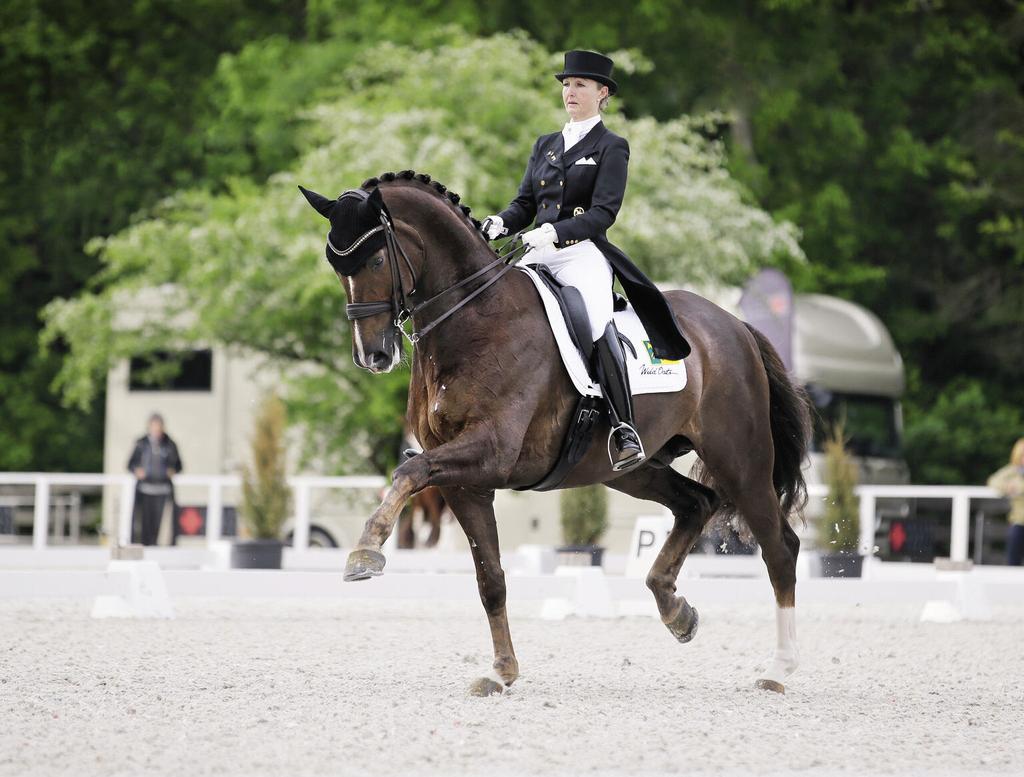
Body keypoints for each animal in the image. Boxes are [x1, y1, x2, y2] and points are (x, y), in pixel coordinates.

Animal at [299, 173, 811, 696]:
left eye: (377, 260)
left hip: (740, 460)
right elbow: (490, 577)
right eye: (334, 265)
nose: (373, 356)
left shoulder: (490, 453)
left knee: (779, 548)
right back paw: (676, 612)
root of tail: (734, 325)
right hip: (629, 470)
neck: (474, 318)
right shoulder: (465, 482)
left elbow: (409, 470)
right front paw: (502, 671)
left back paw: (779, 668)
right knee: (697, 504)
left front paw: (365, 551)